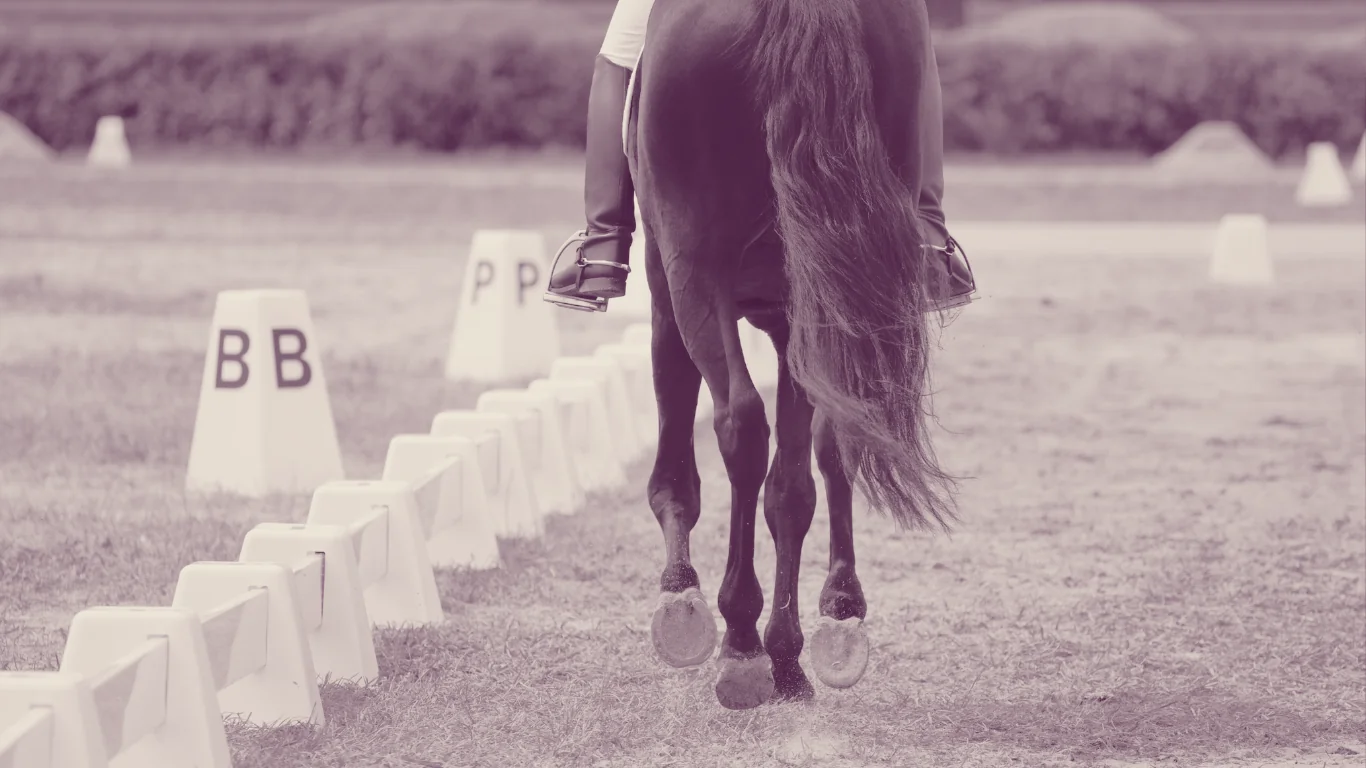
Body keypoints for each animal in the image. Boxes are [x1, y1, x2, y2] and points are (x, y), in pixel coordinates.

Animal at [625, 0, 961, 709]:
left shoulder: (668, 286)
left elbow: (679, 450)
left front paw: (681, 598)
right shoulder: (796, 322)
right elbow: (807, 471)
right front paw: (816, 631)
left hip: (693, 269)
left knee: (740, 425)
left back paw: (741, 642)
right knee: (799, 465)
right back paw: (785, 648)